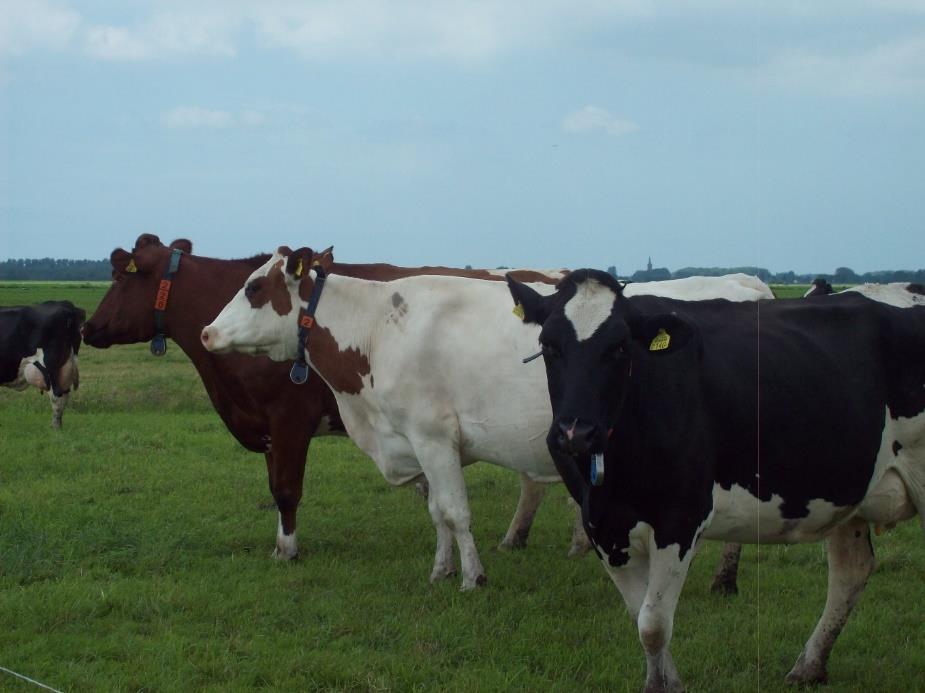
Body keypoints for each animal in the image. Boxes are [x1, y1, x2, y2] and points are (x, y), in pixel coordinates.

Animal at [81, 235, 572, 560]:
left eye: (120, 278)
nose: (87, 328)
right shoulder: (268, 427)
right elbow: (274, 486)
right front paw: (282, 542)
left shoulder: (289, 419)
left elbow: (286, 488)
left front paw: (287, 550)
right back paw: (526, 537)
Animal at [506, 266, 924, 692]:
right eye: (548, 345)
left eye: (621, 348)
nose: (576, 432)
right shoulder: (603, 525)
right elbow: (639, 615)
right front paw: (666, 683)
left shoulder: (680, 517)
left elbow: (653, 626)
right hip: (848, 488)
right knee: (850, 571)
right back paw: (809, 666)